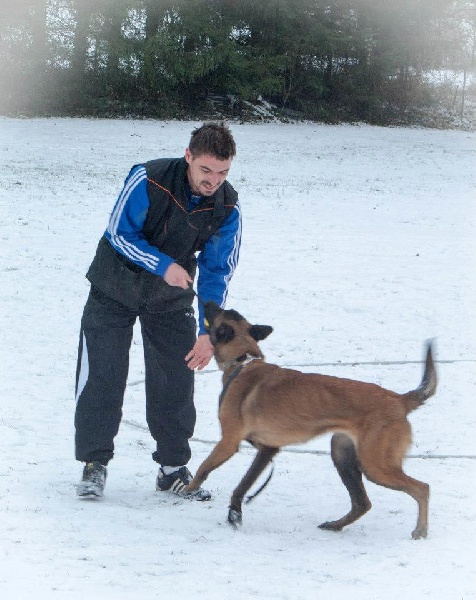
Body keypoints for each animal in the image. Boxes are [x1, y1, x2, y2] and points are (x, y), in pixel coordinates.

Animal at [184, 300, 436, 540]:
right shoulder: (267, 449)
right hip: (342, 455)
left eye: (218, 312)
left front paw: (189, 489)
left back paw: (420, 530)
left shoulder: (229, 442)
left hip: (375, 465)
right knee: (362, 503)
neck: (242, 362)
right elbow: (244, 484)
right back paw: (335, 525)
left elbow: (204, 467)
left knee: (422, 488)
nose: (207, 301)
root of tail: (399, 400)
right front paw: (234, 514)